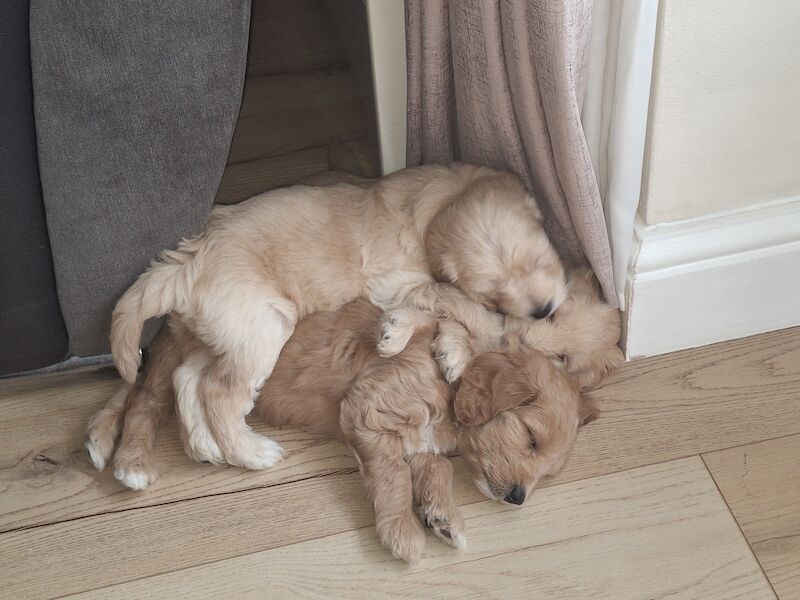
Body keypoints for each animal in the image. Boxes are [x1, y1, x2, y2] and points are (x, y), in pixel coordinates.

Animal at [86, 268, 620, 564]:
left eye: (546, 473)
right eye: (530, 438)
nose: (517, 498)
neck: (447, 390)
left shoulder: (418, 440)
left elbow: (435, 467)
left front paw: (442, 516)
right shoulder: (368, 409)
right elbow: (392, 479)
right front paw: (403, 533)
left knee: (148, 388)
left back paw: (137, 439)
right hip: (185, 358)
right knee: (147, 399)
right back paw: (137, 460)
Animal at [106, 164, 564, 474]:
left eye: (542, 261)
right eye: (494, 292)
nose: (544, 311)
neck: (437, 204)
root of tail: (186, 262)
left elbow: (436, 311)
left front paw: (445, 351)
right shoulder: (395, 282)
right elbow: (449, 300)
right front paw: (483, 330)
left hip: (227, 330)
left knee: (187, 377)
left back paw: (205, 447)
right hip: (263, 324)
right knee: (218, 392)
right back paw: (251, 453)